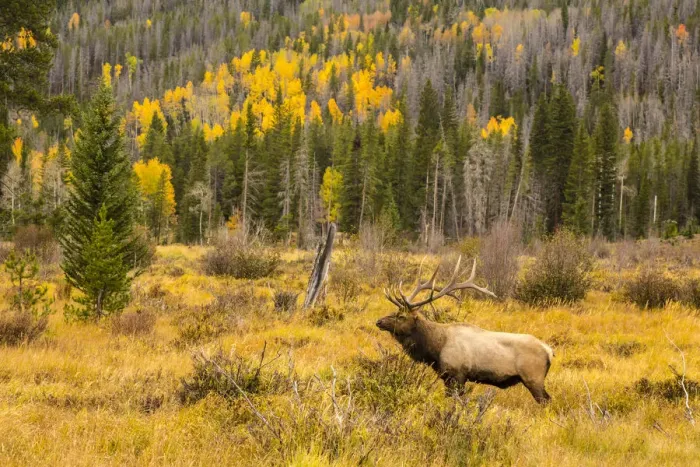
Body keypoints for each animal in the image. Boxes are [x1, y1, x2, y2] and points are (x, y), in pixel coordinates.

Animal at [376, 256, 554, 404]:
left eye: (401, 316)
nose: (379, 321)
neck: (435, 348)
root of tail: (549, 351)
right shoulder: (447, 376)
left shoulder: (457, 375)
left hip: (533, 378)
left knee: (546, 400)